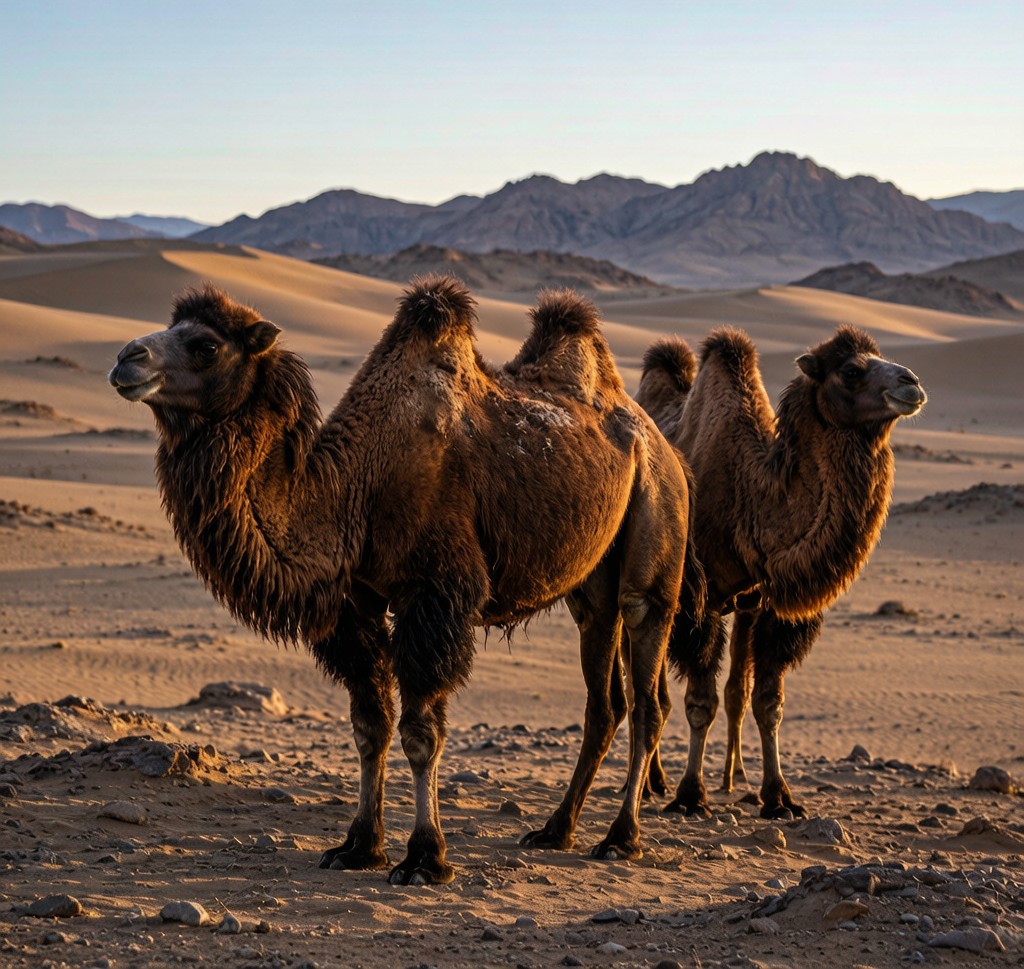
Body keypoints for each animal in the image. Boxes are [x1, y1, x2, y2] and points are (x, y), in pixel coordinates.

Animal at [109, 276, 695, 884]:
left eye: (206, 345)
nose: (127, 358)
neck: (355, 490)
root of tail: (664, 444)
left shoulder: (434, 595)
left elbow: (420, 732)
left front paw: (425, 857)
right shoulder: (356, 601)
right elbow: (370, 726)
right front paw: (359, 846)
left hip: (655, 533)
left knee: (648, 691)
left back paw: (621, 837)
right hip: (592, 587)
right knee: (603, 698)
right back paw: (556, 829)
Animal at [636, 325, 926, 818]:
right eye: (851, 371)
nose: (912, 383)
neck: (750, 499)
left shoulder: (771, 608)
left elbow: (767, 703)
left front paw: (778, 796)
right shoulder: (703, 602)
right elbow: (700, 703)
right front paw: (691, 794)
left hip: (739, 609)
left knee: (729, 689)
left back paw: (732, 776)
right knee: (647, 682)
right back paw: (651, 782)